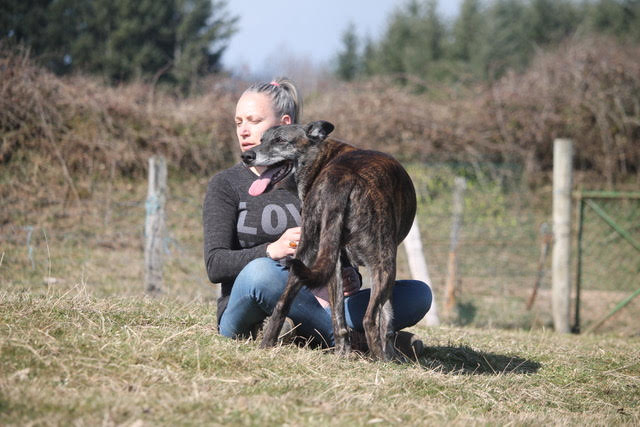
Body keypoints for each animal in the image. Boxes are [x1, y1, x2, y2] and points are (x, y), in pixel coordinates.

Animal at [240, 120, 416, 362]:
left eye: (279, 140)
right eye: (262, 139)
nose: (246, 156)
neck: (323, 156)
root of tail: (342, 178)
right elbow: (387, 319)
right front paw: (390, 355)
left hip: (308, 255)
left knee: (289, 305)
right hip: (384, 263)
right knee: (369, 319)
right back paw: (380, 360)